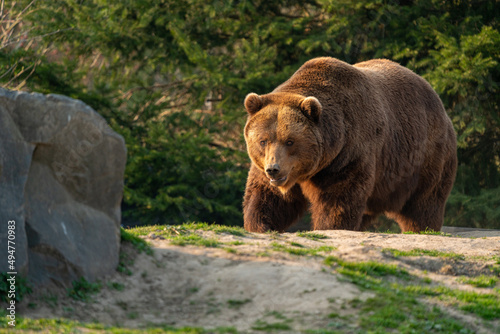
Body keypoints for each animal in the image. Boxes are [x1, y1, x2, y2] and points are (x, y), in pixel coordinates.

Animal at [242, 56, 458, 232]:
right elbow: (268, 197)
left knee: (424, 203)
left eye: (290, 141)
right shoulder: (269, 169)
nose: (274, 169)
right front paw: (260, 225)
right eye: (263, 141)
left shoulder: (347, 156)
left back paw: (423, 228)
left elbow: (337, 200)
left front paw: (330, 226)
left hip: (425, 158)